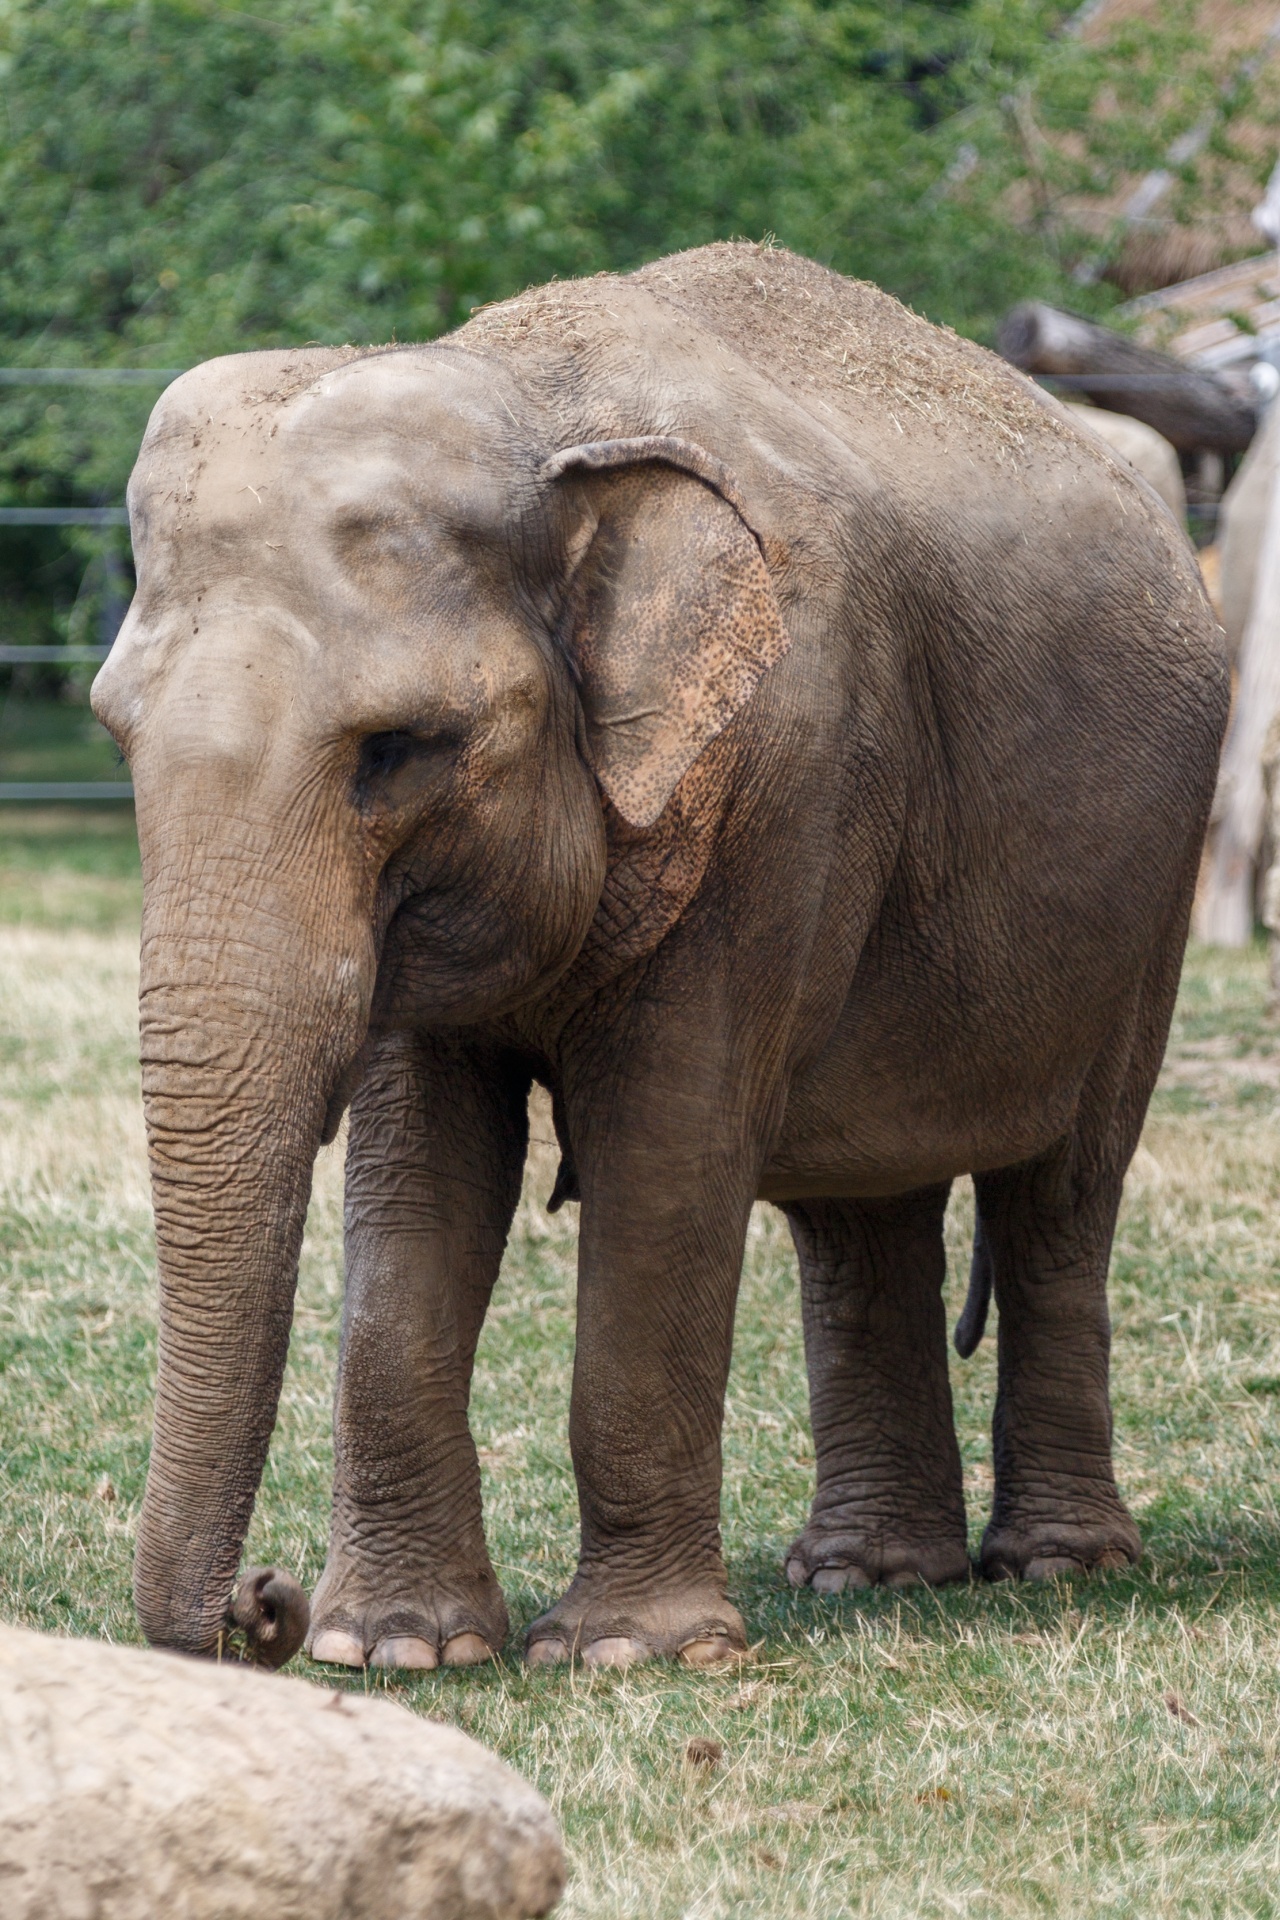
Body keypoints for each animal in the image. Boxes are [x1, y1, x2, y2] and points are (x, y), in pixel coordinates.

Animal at [92, 240, 1228, 1674]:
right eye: (114, 731)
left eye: (395, 751)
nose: (263, 1602)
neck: (540, 406)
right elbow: (416, 1179)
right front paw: (398, 1650)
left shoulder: (780, 777)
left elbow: (668, 1153)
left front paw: (628, 1654)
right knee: (861, 1213)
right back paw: (868, 1576)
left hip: (1152, 893)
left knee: (1063, 1195)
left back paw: (1053, 1568)